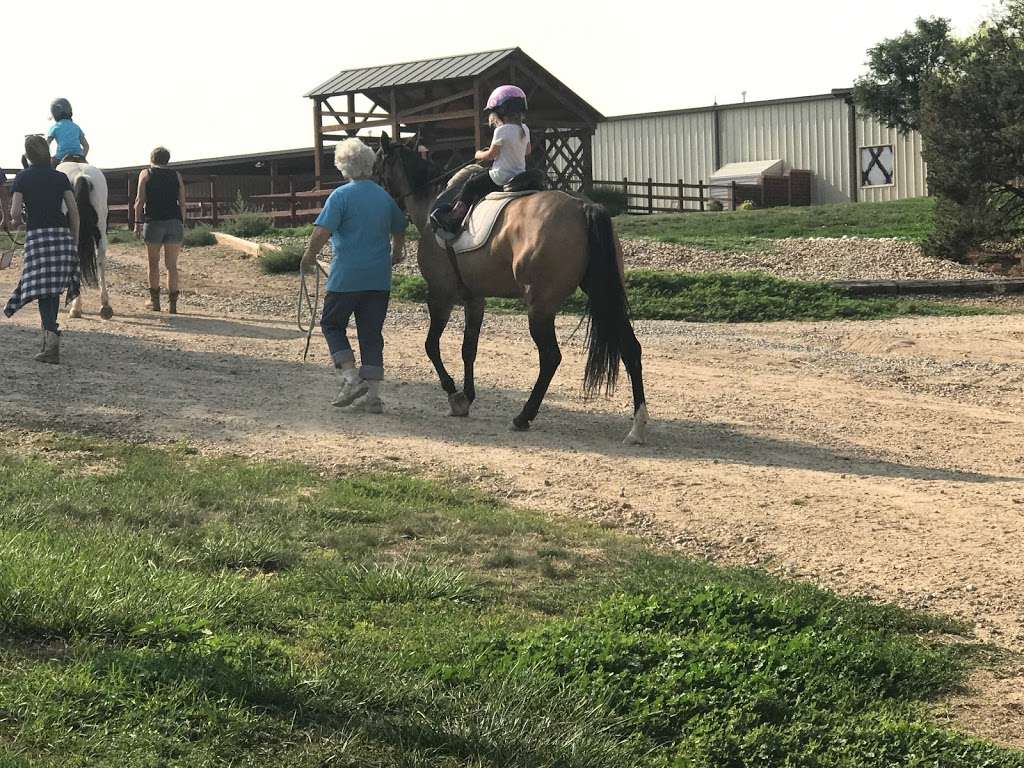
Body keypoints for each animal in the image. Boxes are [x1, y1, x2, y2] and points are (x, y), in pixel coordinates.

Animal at [376, 134, 647, 444]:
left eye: (377, 164)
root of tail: (583, 208)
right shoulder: (474, 298)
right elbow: (469, 348)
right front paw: (467, 396)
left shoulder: (440, 295)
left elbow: (431, 345)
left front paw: (454, 394)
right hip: (604, 296)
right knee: (631, 350)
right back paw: (637, 426)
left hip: (540, 308)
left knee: (551, 357)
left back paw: (524, 416)